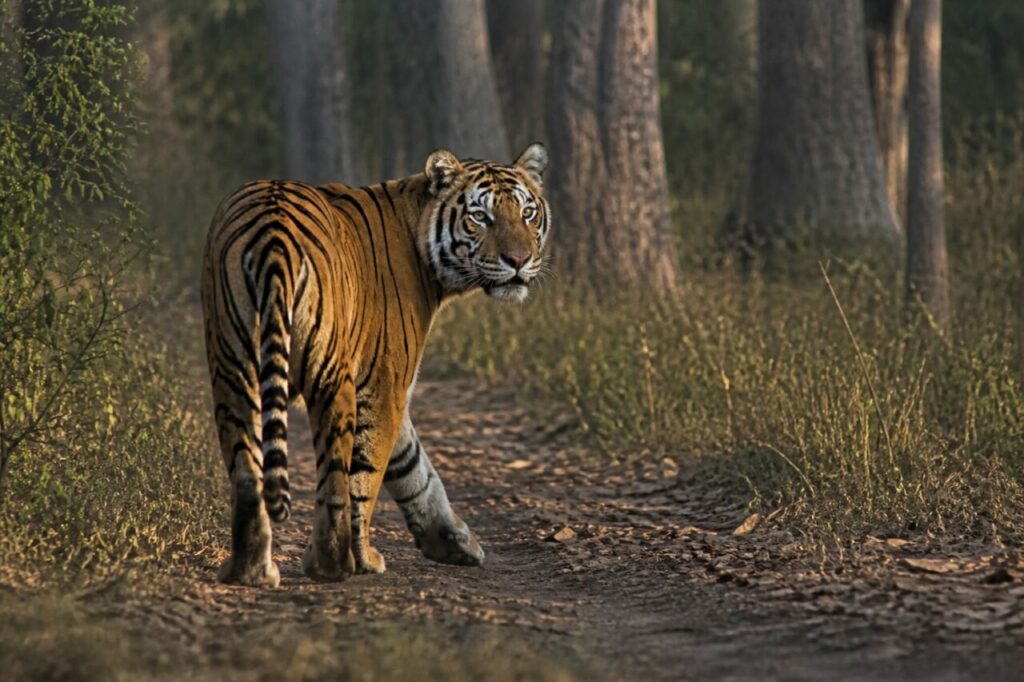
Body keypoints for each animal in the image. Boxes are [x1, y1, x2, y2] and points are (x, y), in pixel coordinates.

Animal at [201, 144, 550, 586]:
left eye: (527, 213)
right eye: (480, 216)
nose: (519, 260)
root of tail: (273, 233)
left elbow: (414, 466)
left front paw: (454, 542)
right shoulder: (385, 383)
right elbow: (369, 475)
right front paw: (368, 557)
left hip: (232, 366)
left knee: (246, 471)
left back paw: (250, 571)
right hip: (331, 376)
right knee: (335, 479)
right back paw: (333, 564)